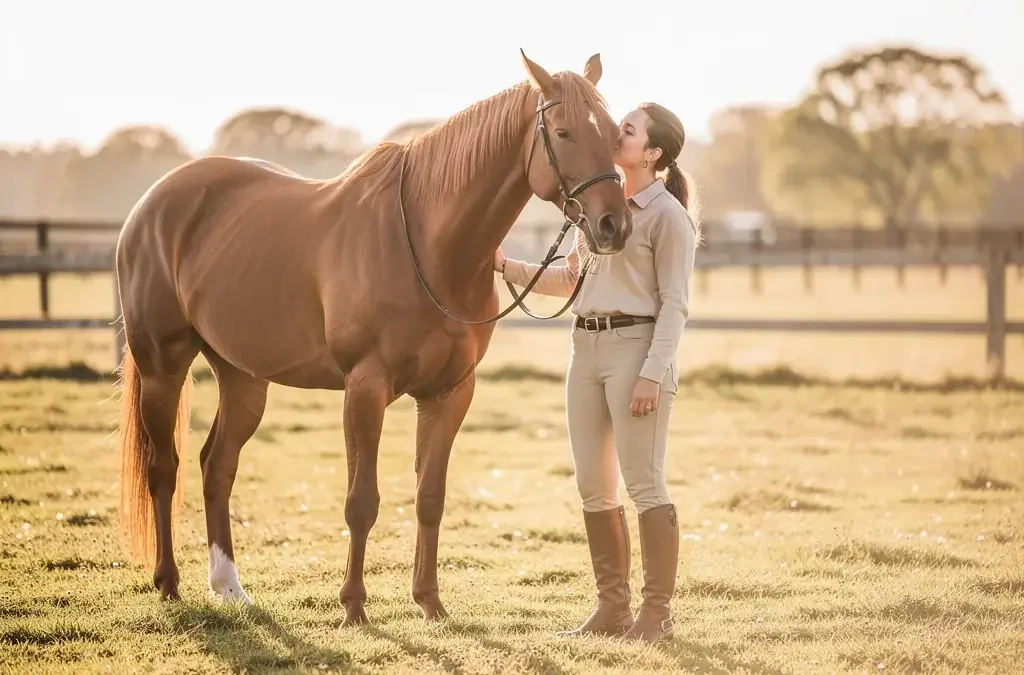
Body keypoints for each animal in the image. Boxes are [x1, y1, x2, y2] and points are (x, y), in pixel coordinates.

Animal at [115, 49, 633, 626]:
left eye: (615, 132)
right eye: (563, 132)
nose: (613, 226)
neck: (429, 246)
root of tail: (151, 205)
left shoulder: (451, 392)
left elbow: (431, 497)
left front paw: (429, 602)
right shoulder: (366, 387)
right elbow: (361, 501)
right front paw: (354, 606)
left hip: (243, 377)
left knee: (216, 466)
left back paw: (229, 586)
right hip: (162, 367)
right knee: (164, 470)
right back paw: (168, 583)